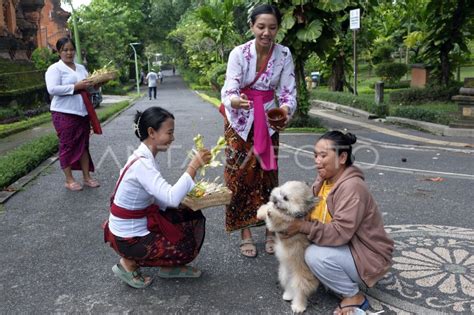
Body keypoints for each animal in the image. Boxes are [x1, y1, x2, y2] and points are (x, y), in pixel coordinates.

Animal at [258, 181, 320, 314]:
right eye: (280, 192)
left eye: (285, 198)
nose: (275, 199)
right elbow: (266, 207)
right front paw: (261, 212)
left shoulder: (284, 224)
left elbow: (276, 217)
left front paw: (272, 212)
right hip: (284, 274)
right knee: (291, 287)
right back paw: (288, 295)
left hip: (301, 278)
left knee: (300, 292)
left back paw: (298, 307)